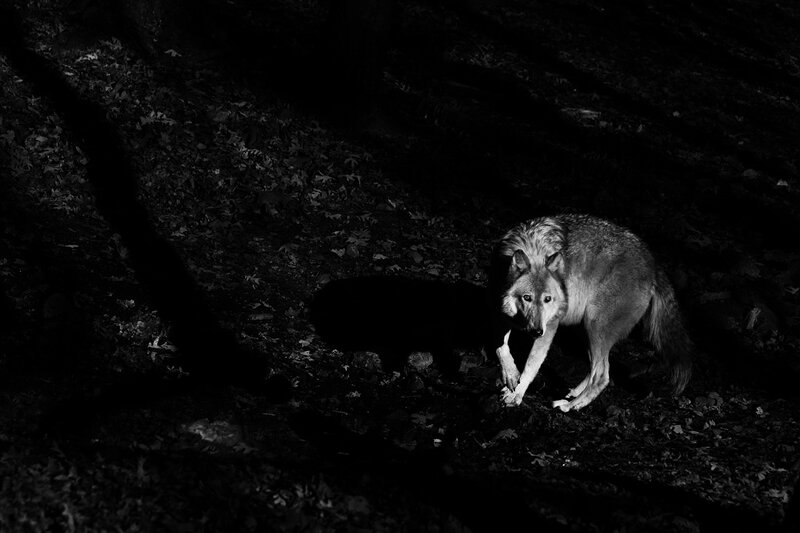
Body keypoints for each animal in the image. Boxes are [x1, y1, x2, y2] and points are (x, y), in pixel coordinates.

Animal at [489, 214, 692, 412]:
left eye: (548, 299)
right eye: (527, 298)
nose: (537, 331)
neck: (534, 247)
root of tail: (654, 264)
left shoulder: (550, 325)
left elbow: (531, 365)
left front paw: (517, 394)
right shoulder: (499, 311)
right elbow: (500, 346)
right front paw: (510, 374)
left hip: (594, 326)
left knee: (602, 376)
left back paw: (570, 406)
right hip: (585, 329)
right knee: (596, 368)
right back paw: (574, 394)